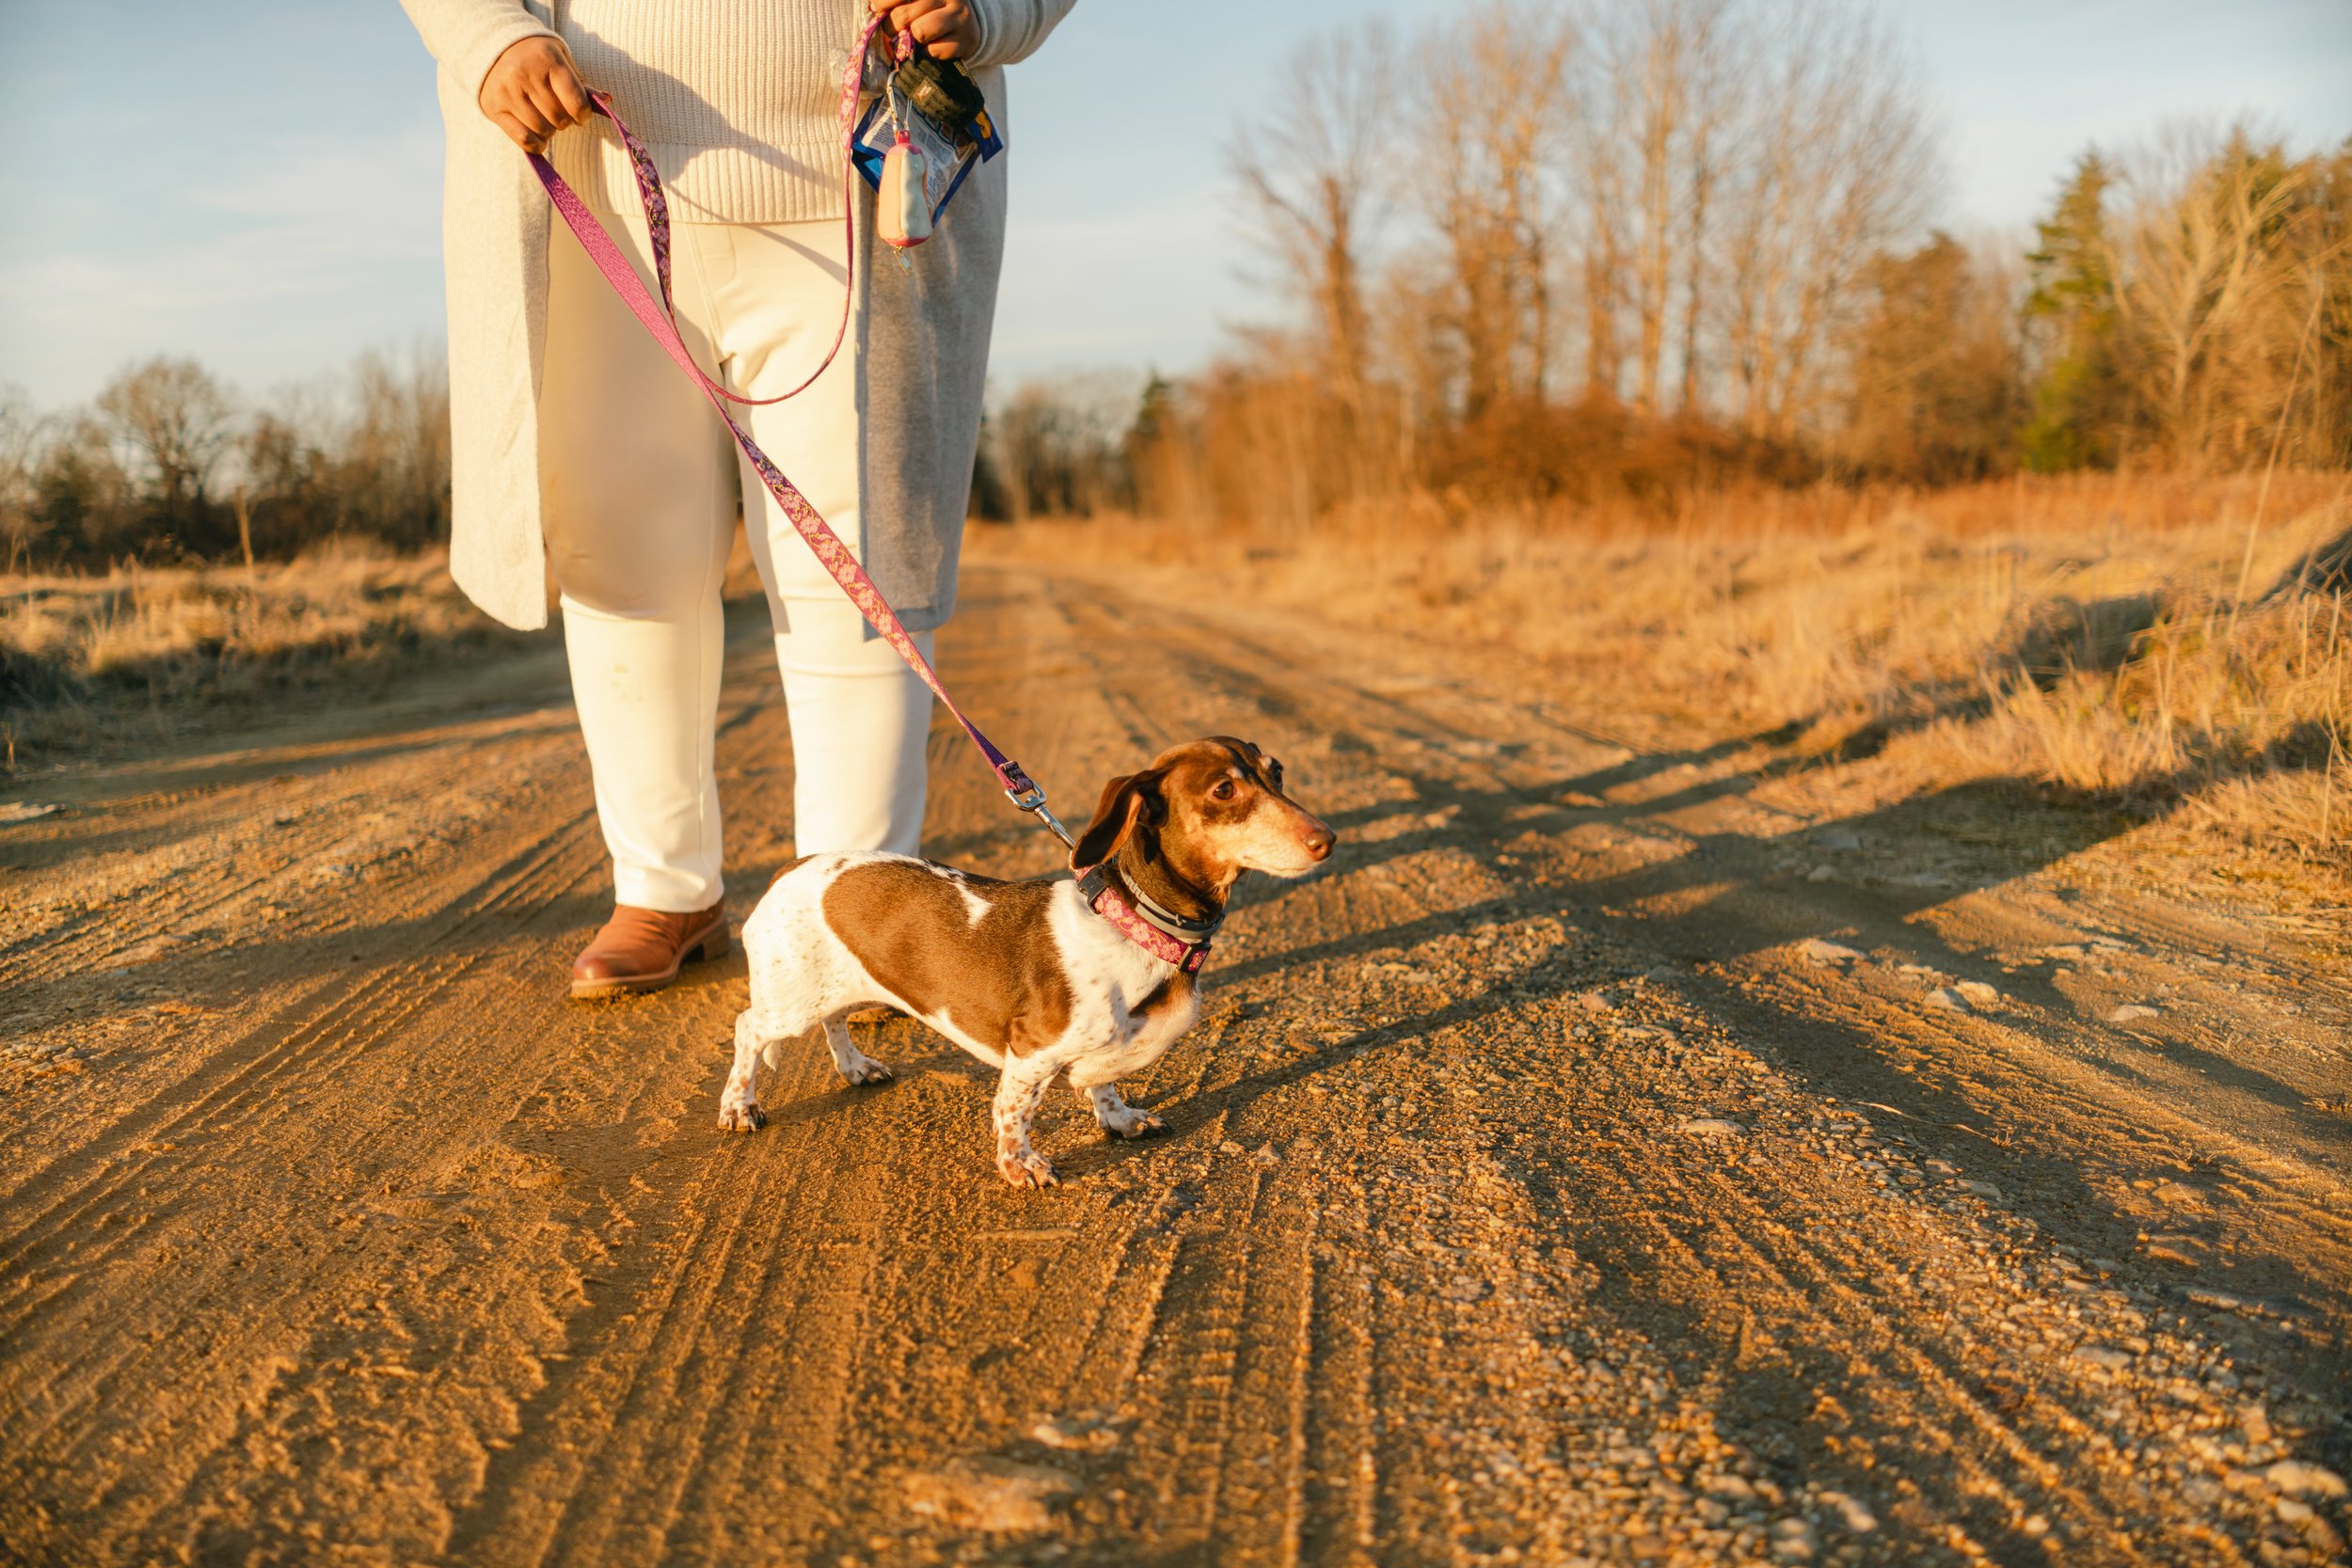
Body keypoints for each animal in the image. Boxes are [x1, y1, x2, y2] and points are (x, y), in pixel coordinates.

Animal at [715, 742, 1336, 1184]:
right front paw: (1021, 1166)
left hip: (830, 986)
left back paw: (856, 1068)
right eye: (1224, 789)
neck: (1132, 925)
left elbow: (1105, 1084)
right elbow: (1014, 1114)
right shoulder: (1031, 1052)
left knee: (835, 1019)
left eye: (1277, 772)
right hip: (788, 1004)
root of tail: (793, 866)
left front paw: (1119, 1119)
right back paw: (739, 1106)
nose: (1327, 838)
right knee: (748, 1028)